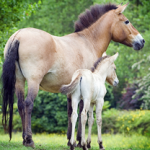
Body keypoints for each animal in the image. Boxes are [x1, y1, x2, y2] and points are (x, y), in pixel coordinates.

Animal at [1, 2, 144, 148]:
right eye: (126, 21)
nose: (142, 41)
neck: (89, 42)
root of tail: (18, 36)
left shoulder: (72, 90)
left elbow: (71, 112)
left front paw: (71, 140)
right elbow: (82, 112)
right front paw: (80, 141)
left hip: (19, 81)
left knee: (20, 105)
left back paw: (24, 139)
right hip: (33, 81)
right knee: (28, 104)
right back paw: (29, 139)